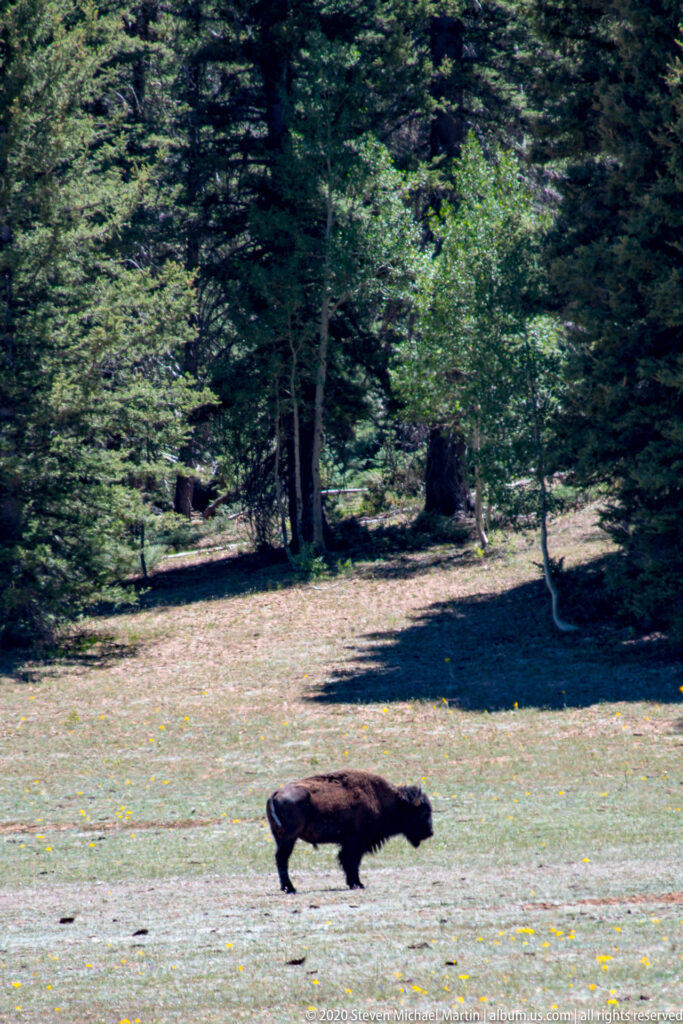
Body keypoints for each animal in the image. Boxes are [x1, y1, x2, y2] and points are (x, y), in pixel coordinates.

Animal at [265, 768, 433, 893]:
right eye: (422, 812)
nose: (430, 833)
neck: (379, 799)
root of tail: (274, 795)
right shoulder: (357, 842)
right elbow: (352, 861)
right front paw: (358, 884)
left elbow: (347, 860)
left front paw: (353, 883)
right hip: (289, 837)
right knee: (282, 858)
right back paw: (290, 888)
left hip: (279, 837)